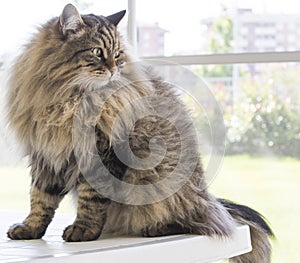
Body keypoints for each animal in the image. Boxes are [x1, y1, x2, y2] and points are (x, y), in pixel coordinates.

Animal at [6, 3, 274, 262]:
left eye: (117, 54)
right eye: (97, 52)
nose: (113, 69)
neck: (68, 99)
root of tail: (209, 200)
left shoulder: (101, 154)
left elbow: (90, 200)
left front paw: (83, 230)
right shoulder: (46, 154)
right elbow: (40, 200)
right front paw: (30, 229)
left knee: (192, 223)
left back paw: (156, 227)